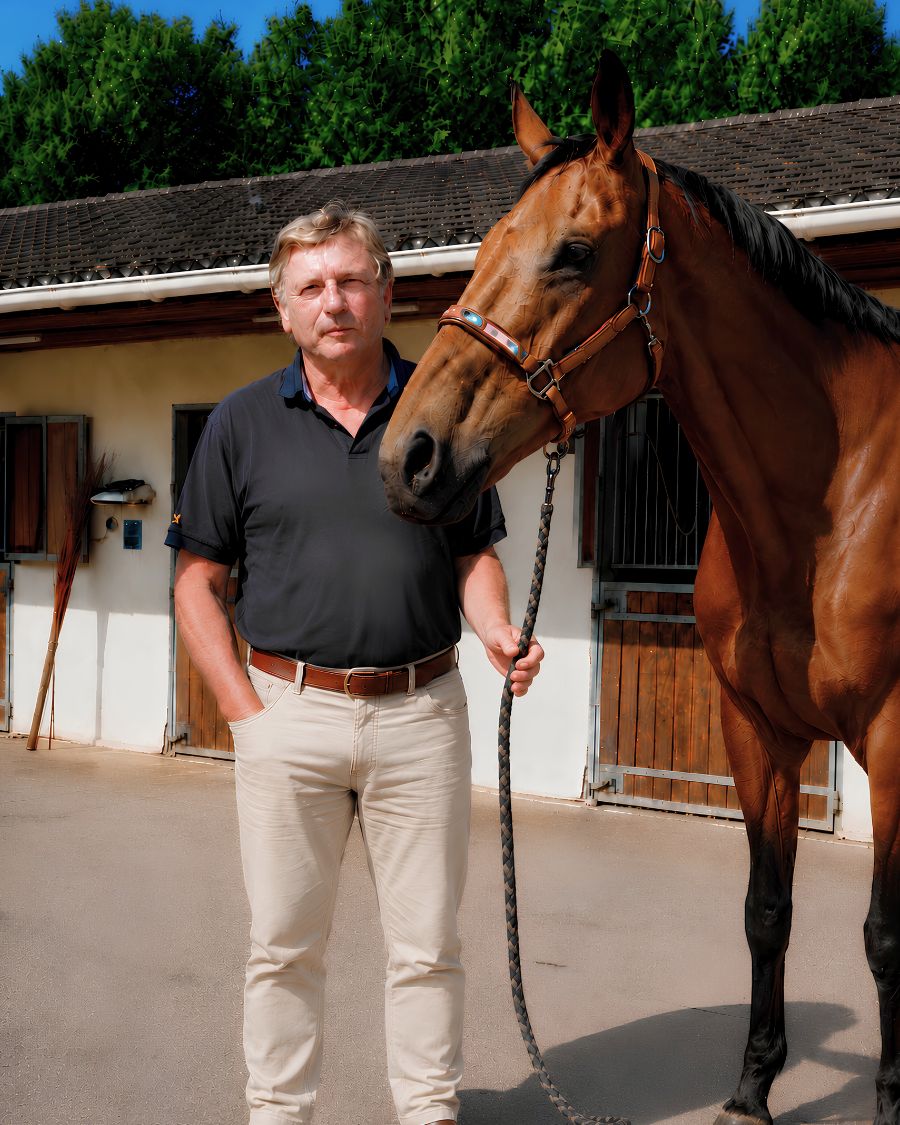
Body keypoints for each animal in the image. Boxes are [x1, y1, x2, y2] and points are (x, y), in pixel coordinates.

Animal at [379, 51, 900, 1125]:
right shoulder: (754, 728)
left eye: (575, 252)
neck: (835, 496)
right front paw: (750, 1090)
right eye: (485, 246)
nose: (409, 456)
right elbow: (767, 909)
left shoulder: (896, 732)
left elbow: (883, 934)